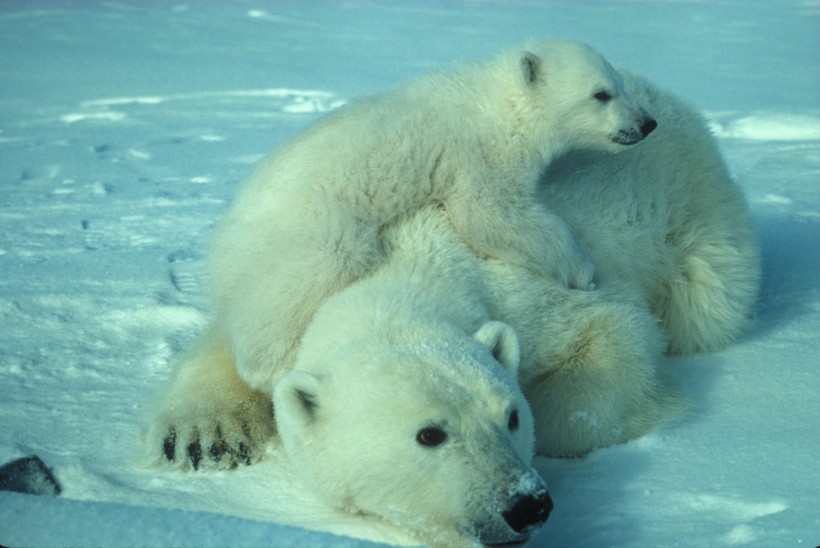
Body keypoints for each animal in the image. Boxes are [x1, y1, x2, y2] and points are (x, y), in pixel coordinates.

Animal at [208, 38, 656, 390]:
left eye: (619, 84)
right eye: (601, 94)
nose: (647, 123)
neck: (497, 104)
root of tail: (223, 243)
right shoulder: (480, 154)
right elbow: (491, 215)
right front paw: (583, 271)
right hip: (309, 227)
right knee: (309, 276)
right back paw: (272, 366)